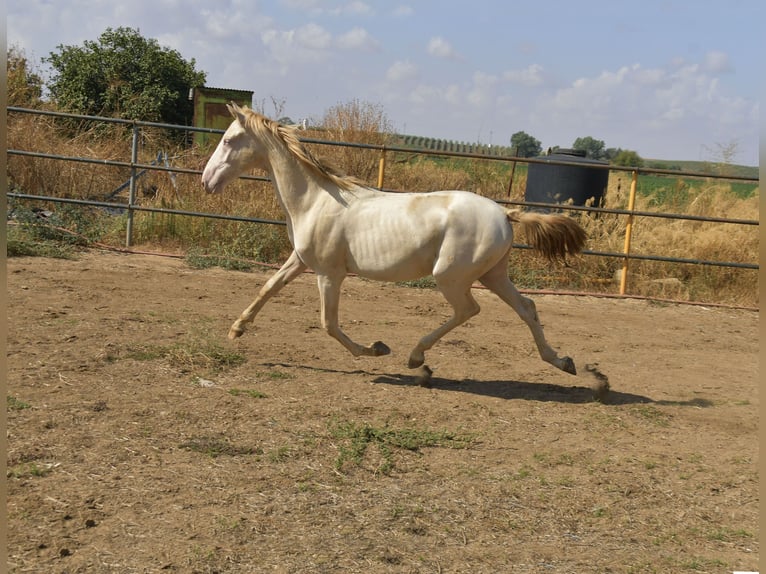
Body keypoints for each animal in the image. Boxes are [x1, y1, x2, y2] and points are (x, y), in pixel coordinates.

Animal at [204, 103, 588, 388]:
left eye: (229, 140)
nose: (207, 181)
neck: (314, 200)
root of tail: (505, 214)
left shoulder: (329, 274)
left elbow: (329, 323)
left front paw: (376, 349)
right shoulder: (300, 260)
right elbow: (268, 287)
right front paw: (236, 329)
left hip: (452, 277)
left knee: (469, 310)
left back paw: (417, 357)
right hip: (493, 274)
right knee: (527, 307)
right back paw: (562, 361)